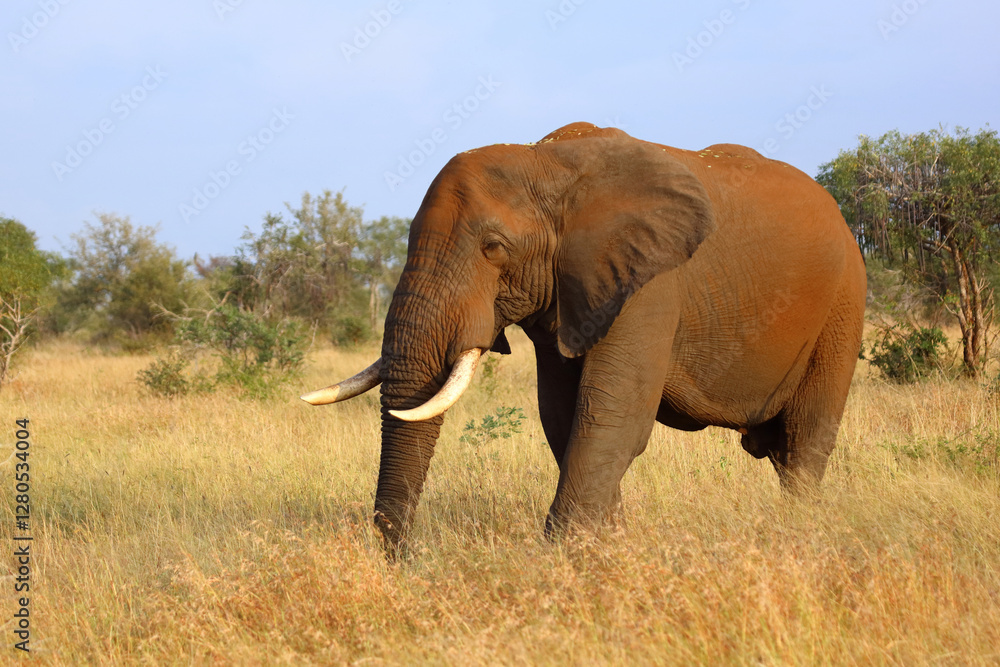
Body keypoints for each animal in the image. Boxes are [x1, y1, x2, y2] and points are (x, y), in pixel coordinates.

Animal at [302, 122, 866, 554]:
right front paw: (607, 547)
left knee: (804, 443)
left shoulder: (650, 286)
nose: (404, 561)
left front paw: (565, 561)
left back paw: (800, 533)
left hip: (844, 302)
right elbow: (563, 415)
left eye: (494, 248)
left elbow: (609, 418)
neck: (545, 163)